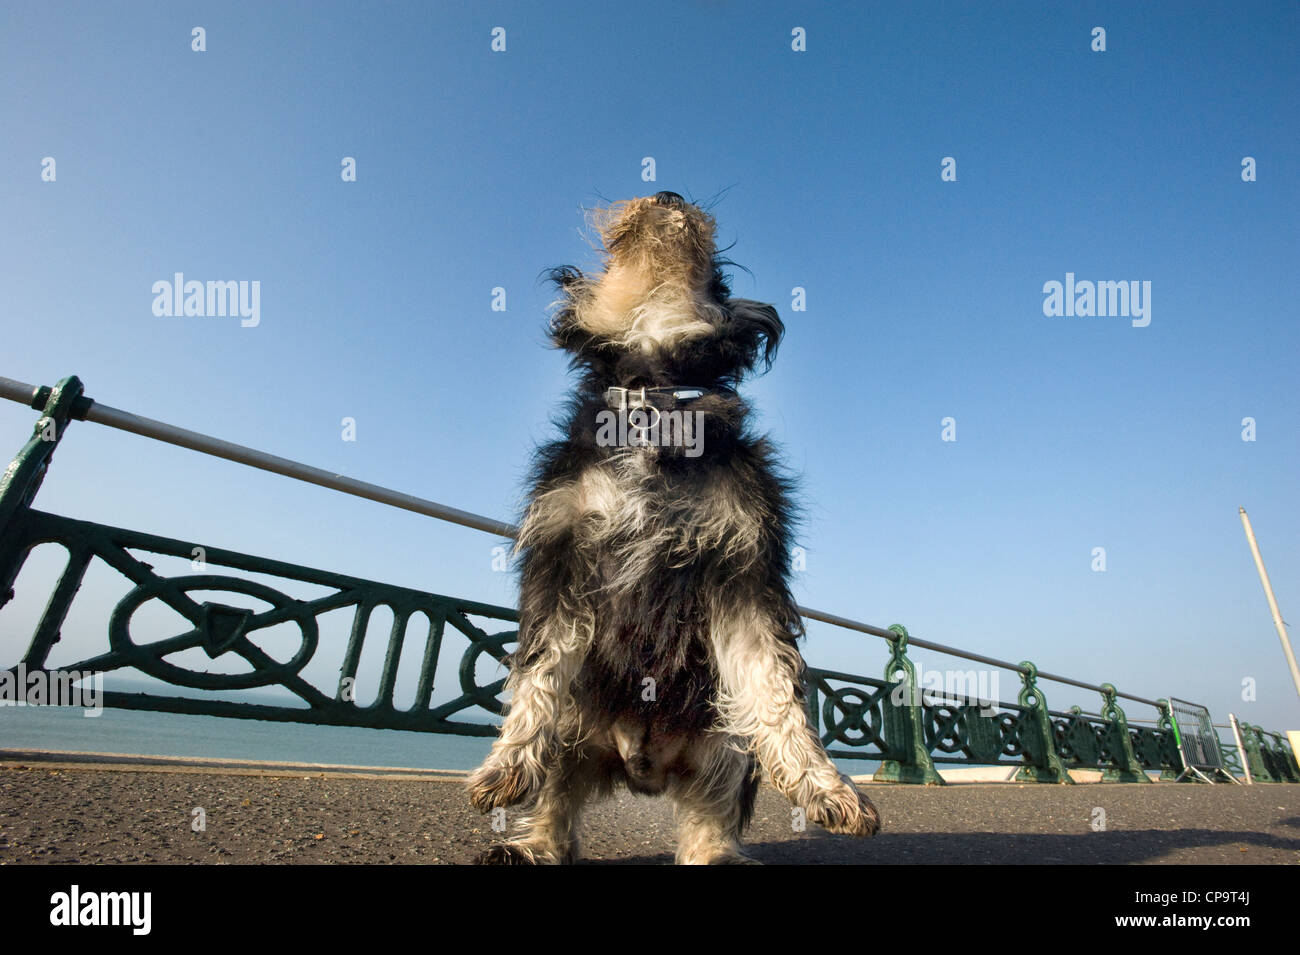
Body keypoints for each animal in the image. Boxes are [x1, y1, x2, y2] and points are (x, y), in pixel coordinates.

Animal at [467, 194, 883, 867]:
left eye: (719, 275)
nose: (666, 194)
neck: (652, 398)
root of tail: (643, 765)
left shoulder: (744, 568)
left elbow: (774, 688)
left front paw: (825, 787)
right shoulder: (560, 558)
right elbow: (536, 675)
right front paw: (502, 768)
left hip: (721, 741)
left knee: (711, 806)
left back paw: (716, 857)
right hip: (579, 726)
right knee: (558, 796)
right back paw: (529, 846)